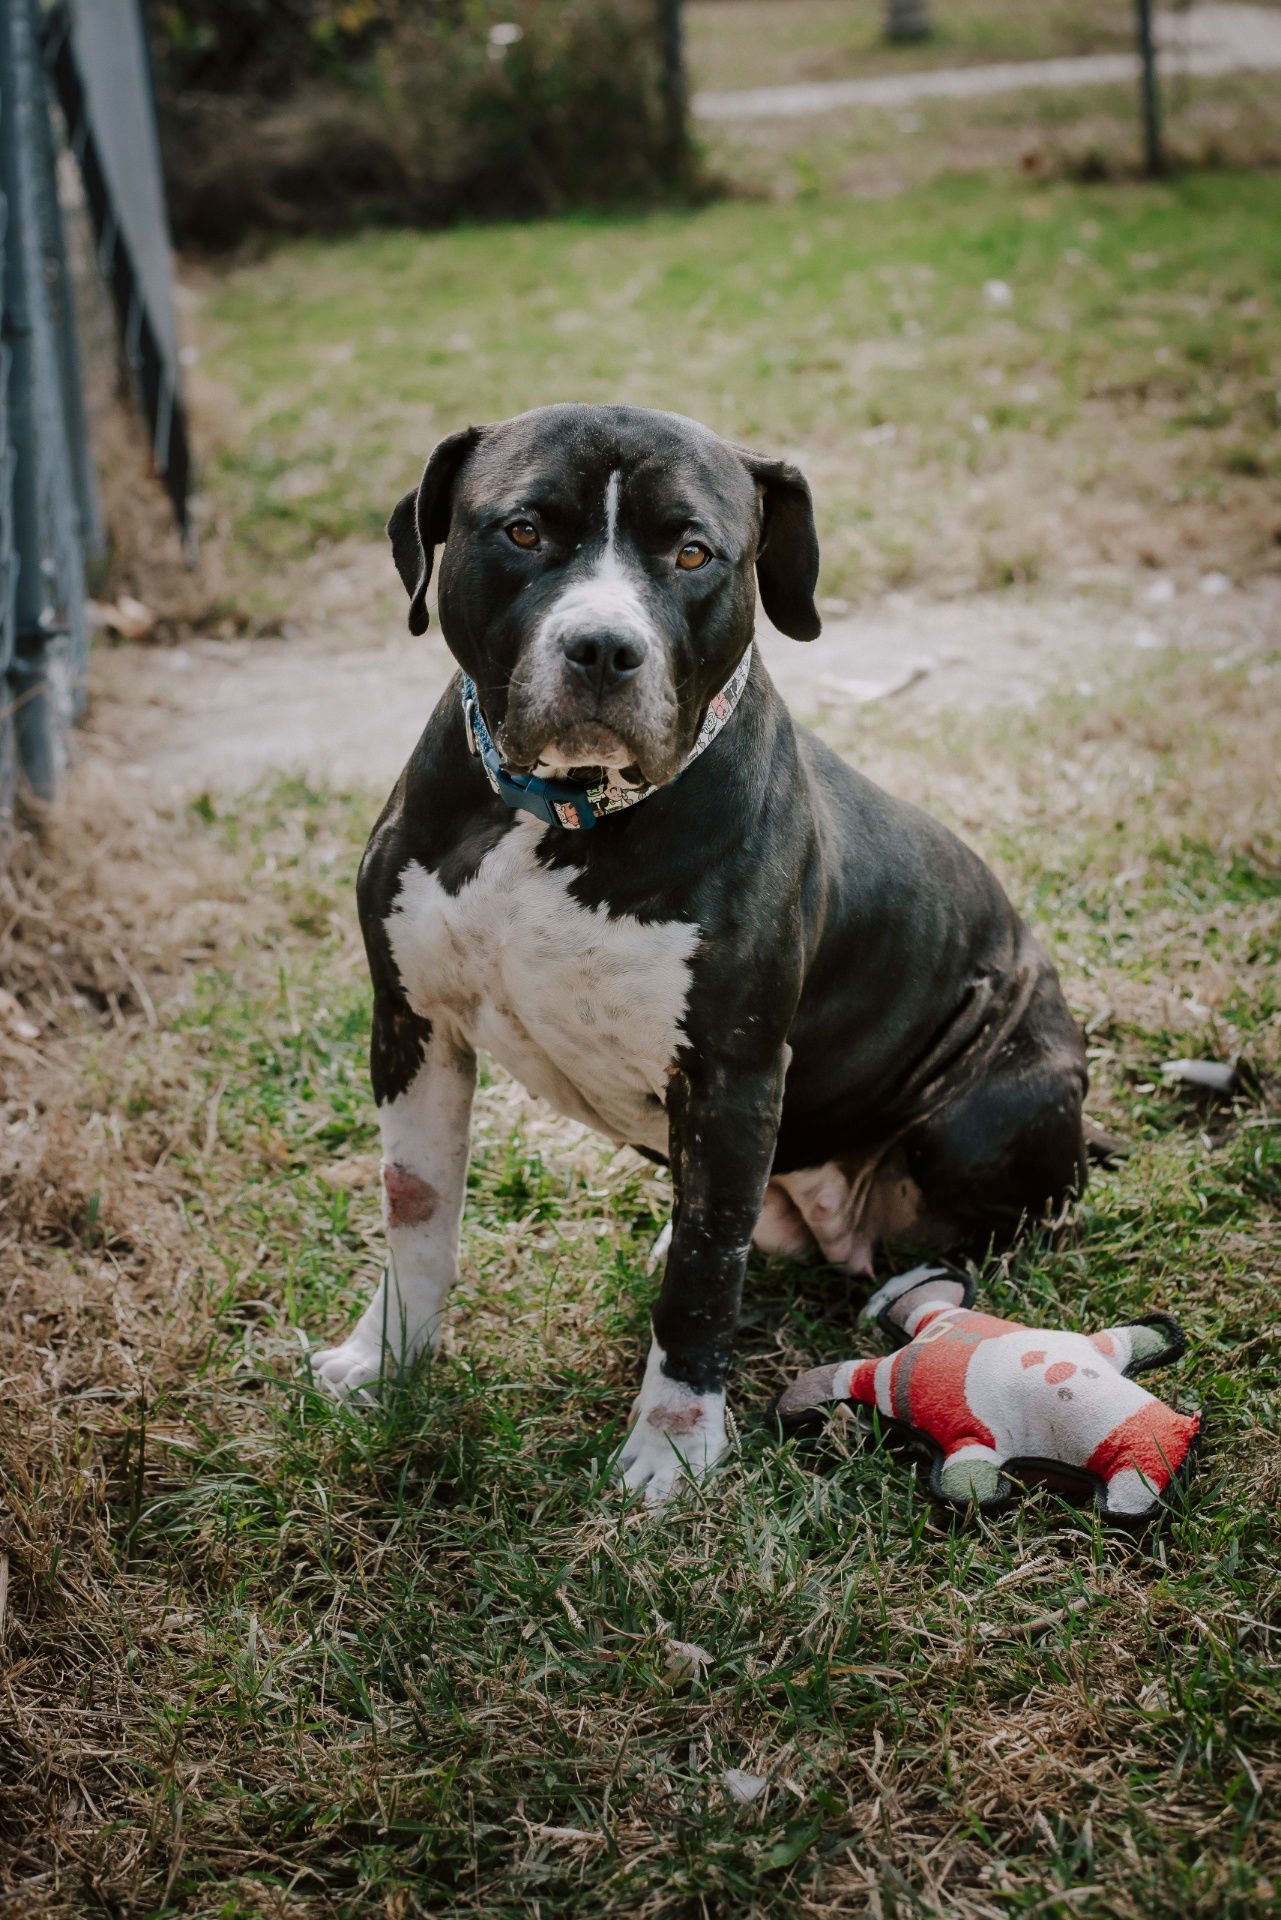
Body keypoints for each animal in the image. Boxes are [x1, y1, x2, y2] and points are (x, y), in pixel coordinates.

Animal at [314, 405, 1090, 1497]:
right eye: (523, 531)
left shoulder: (733, 1075)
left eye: (692, 553)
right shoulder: (412, 1026)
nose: (602, 647)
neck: (561, 814)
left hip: (983, 1112)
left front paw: (673, 1452)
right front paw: (385, 1364)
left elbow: (702, 1279)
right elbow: (416, 1212)